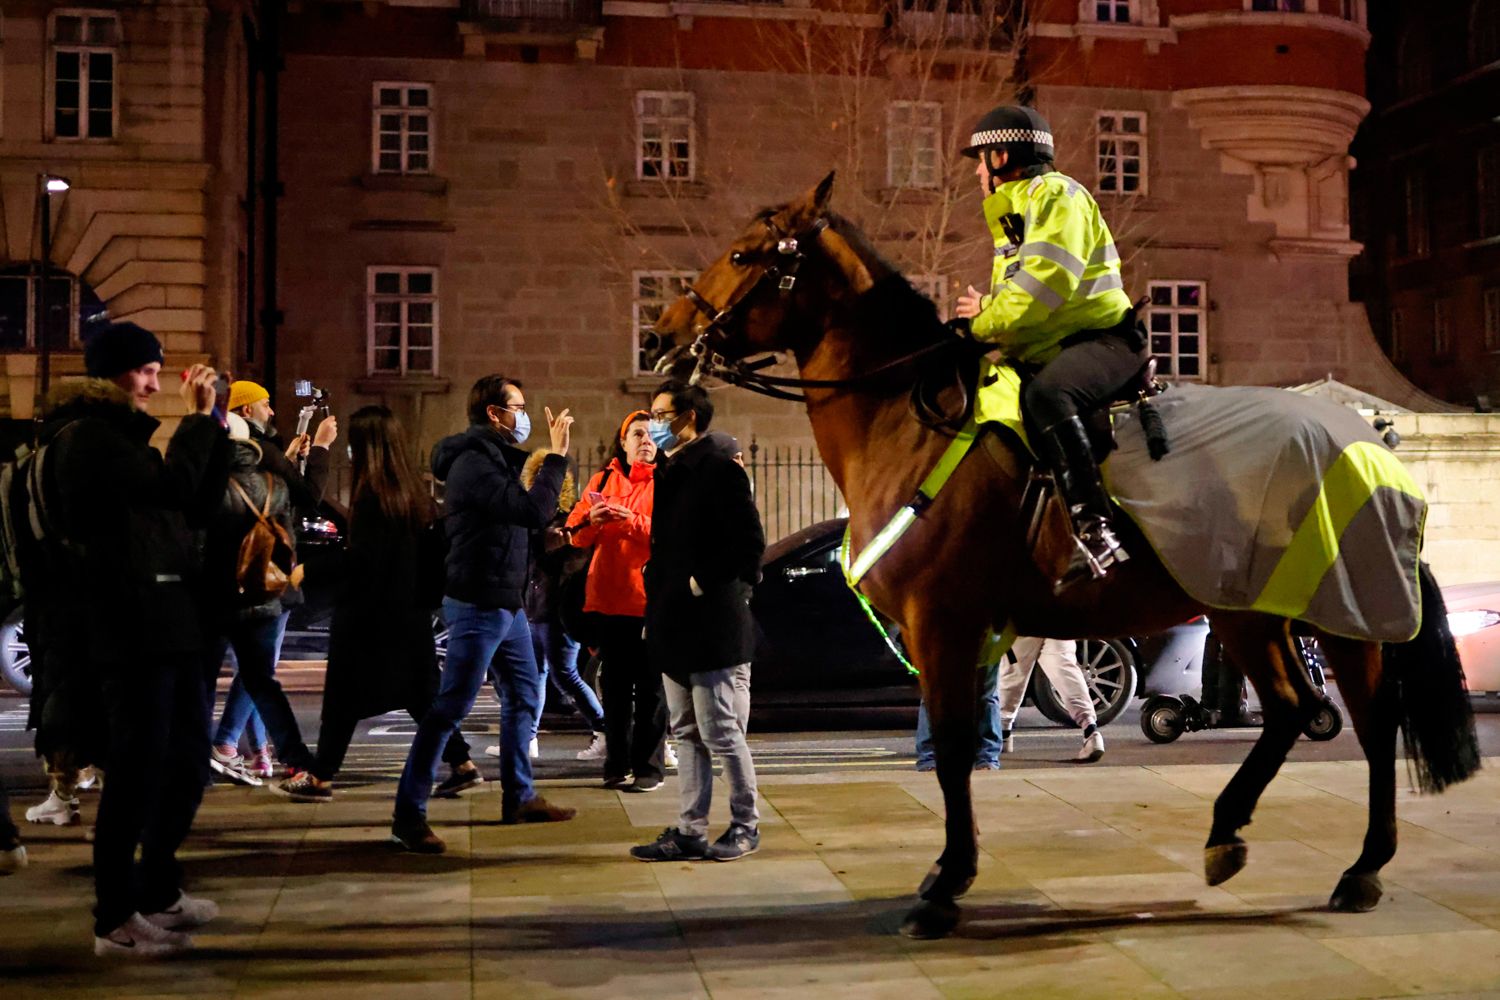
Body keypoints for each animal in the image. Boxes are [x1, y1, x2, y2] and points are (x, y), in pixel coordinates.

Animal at [646, 173, 1481, 940]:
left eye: (741, 254)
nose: (659, 337)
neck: (907, 422)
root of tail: (1373, 444)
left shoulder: (943, 624)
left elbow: (955, 749)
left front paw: (946, 884)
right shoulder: (955, 631)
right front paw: (948, 872)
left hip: (1339, 615)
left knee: (1370, 724)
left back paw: (1361, 868)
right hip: (1249, 611)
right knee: (1290, 711)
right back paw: (1228, 836)